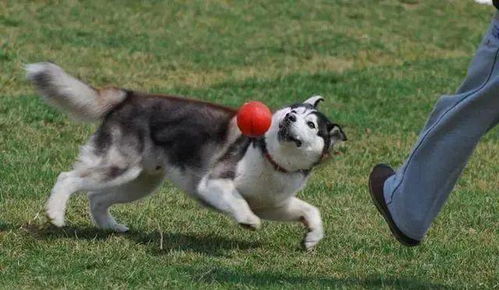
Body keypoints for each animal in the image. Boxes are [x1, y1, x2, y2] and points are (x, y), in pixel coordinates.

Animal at [26, 62, 348, 249]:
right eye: (292, 111)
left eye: (311, 124)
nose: (289, 117)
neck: (272, 159)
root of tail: (129, 96)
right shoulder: (214, 183)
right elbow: (239, 201)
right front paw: (247, 220)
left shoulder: (272, 203)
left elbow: (310, 210)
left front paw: (312, 237)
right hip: (118, 165)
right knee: (68, 177)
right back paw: (55, 214)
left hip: (141, 181)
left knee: (97, 198)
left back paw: (113, 227)